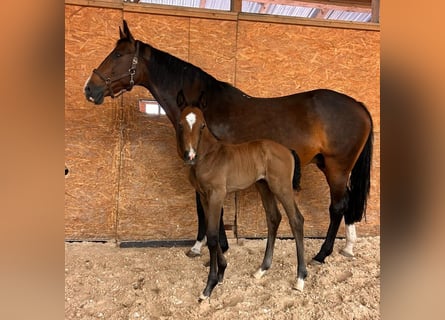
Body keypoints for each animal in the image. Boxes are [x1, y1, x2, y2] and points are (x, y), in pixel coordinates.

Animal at [82, 20, 372, 264]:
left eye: (118, 55)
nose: (89, 88)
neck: (203, 108)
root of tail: (358, 105)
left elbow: (207, 210)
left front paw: (209, 247)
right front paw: (210, 246)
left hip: (337, 168)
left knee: (337, 206)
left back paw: (323, 254)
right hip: (329, 166)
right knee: (346, 203)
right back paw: (348, 247)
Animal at [176, 92, 306, 300]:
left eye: (202, 125)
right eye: (180, 124)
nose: (190, 155)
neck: (208, 156)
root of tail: (287, 150)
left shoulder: (217, 195)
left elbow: (213, 236)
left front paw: (209, 286)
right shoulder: (204, 196)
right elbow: (213, 232)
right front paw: (222, 272)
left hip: (282, 187)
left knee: (296, 220)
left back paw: (300, 279)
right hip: (264, 186)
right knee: (274, 218)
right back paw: (262, 269)